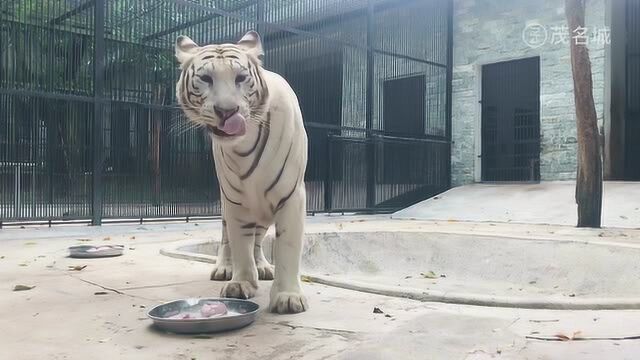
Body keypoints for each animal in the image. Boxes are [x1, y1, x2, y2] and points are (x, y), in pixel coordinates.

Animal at [174, 31, 306, 312]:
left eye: (241, 78)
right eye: (206, 78)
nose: (227, 111)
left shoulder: (290, 195)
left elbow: (287, 246)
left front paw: (288, 296)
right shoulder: (235, 200)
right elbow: (240, 244)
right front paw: (241, 283)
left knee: (258, 239)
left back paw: (264, 266)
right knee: (228, 239)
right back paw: (225, 268)